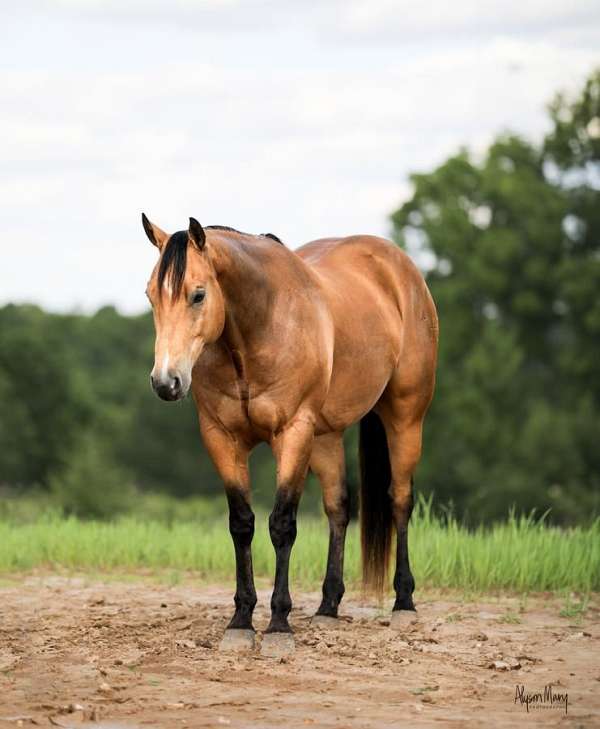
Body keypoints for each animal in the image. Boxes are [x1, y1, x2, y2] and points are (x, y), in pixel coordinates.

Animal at [143, 215, 438, 656]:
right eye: (150, 297)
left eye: (197, 295)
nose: (166, 382)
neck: (256, 332)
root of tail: (401, 269)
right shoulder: (222, 439)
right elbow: (241, 524)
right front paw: (240, 621)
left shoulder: (293, 433)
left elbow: (282, 524)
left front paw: (279, 625)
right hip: (326, 437)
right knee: (339, 508)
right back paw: (328, 606)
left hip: (405, 417)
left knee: (399, 500)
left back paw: (404, 603)